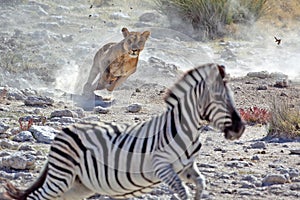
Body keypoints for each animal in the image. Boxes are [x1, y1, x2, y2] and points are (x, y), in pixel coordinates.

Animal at [2, 63, 245, 199]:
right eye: (218, 99)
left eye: (232, 97)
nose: (240, 128)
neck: (184, 129)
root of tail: (63, 131)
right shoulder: (161, 167)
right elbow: (182, 191)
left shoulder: (186, 167)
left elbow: (200, 184)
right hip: (61, 178)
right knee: (36, 197)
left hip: (78, 186)